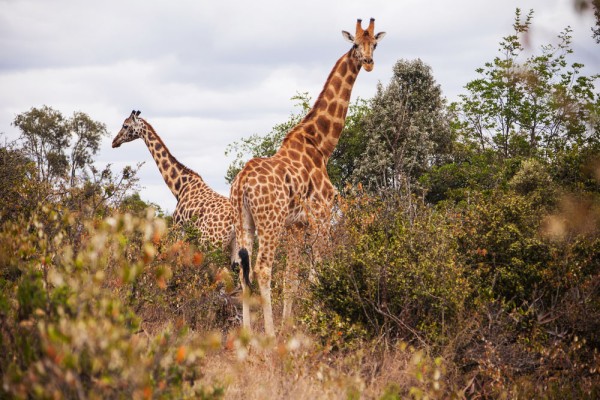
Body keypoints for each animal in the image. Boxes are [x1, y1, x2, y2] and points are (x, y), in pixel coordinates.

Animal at [230, 19, 384, 338]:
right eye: (355, 44)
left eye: (374, 44)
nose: (368, 62)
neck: (321, 144)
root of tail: (241, 184)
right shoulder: (321, 216)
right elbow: (317, 274)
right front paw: (313, 323)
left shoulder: (297, 225)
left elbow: (292, 278)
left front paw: (290, 325)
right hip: (270, 222)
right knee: (263, 268)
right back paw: (268, 336)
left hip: (244, 222)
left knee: (243, 271)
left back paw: (248, 337)